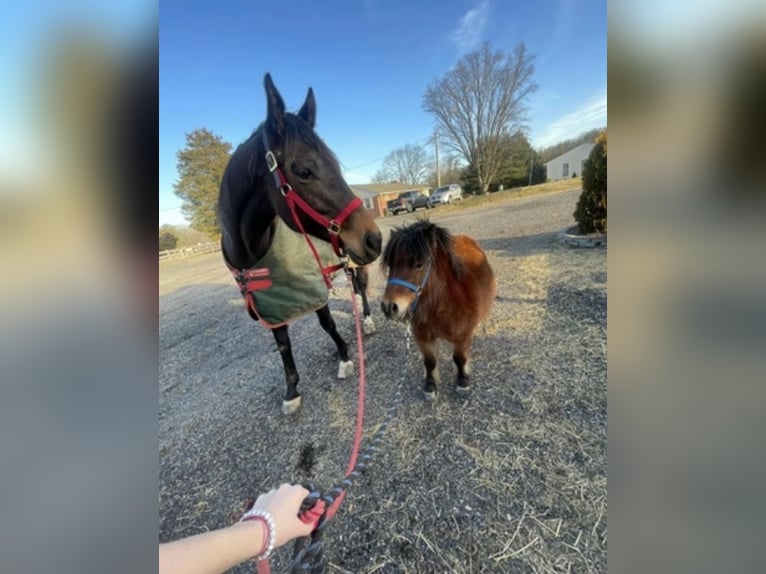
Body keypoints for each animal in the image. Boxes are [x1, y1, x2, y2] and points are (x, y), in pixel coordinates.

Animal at [218, 74, 382, 414]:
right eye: (304, 171)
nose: (373, 238)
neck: (252, 251)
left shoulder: (312, 286)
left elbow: (327, 323)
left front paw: (345, 358)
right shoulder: (271, 303)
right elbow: (283, 345)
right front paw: (291, 391)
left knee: (360, 286)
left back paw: (367, 319)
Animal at [380, 220, 496, 399]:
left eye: (419, 264)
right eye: (391, 265)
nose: (389, 307)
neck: (440, 305)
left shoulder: (463, 336)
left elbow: (459, 358)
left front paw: (462, 381)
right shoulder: (424, 337)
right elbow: (430, 361)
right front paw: (430, 385)